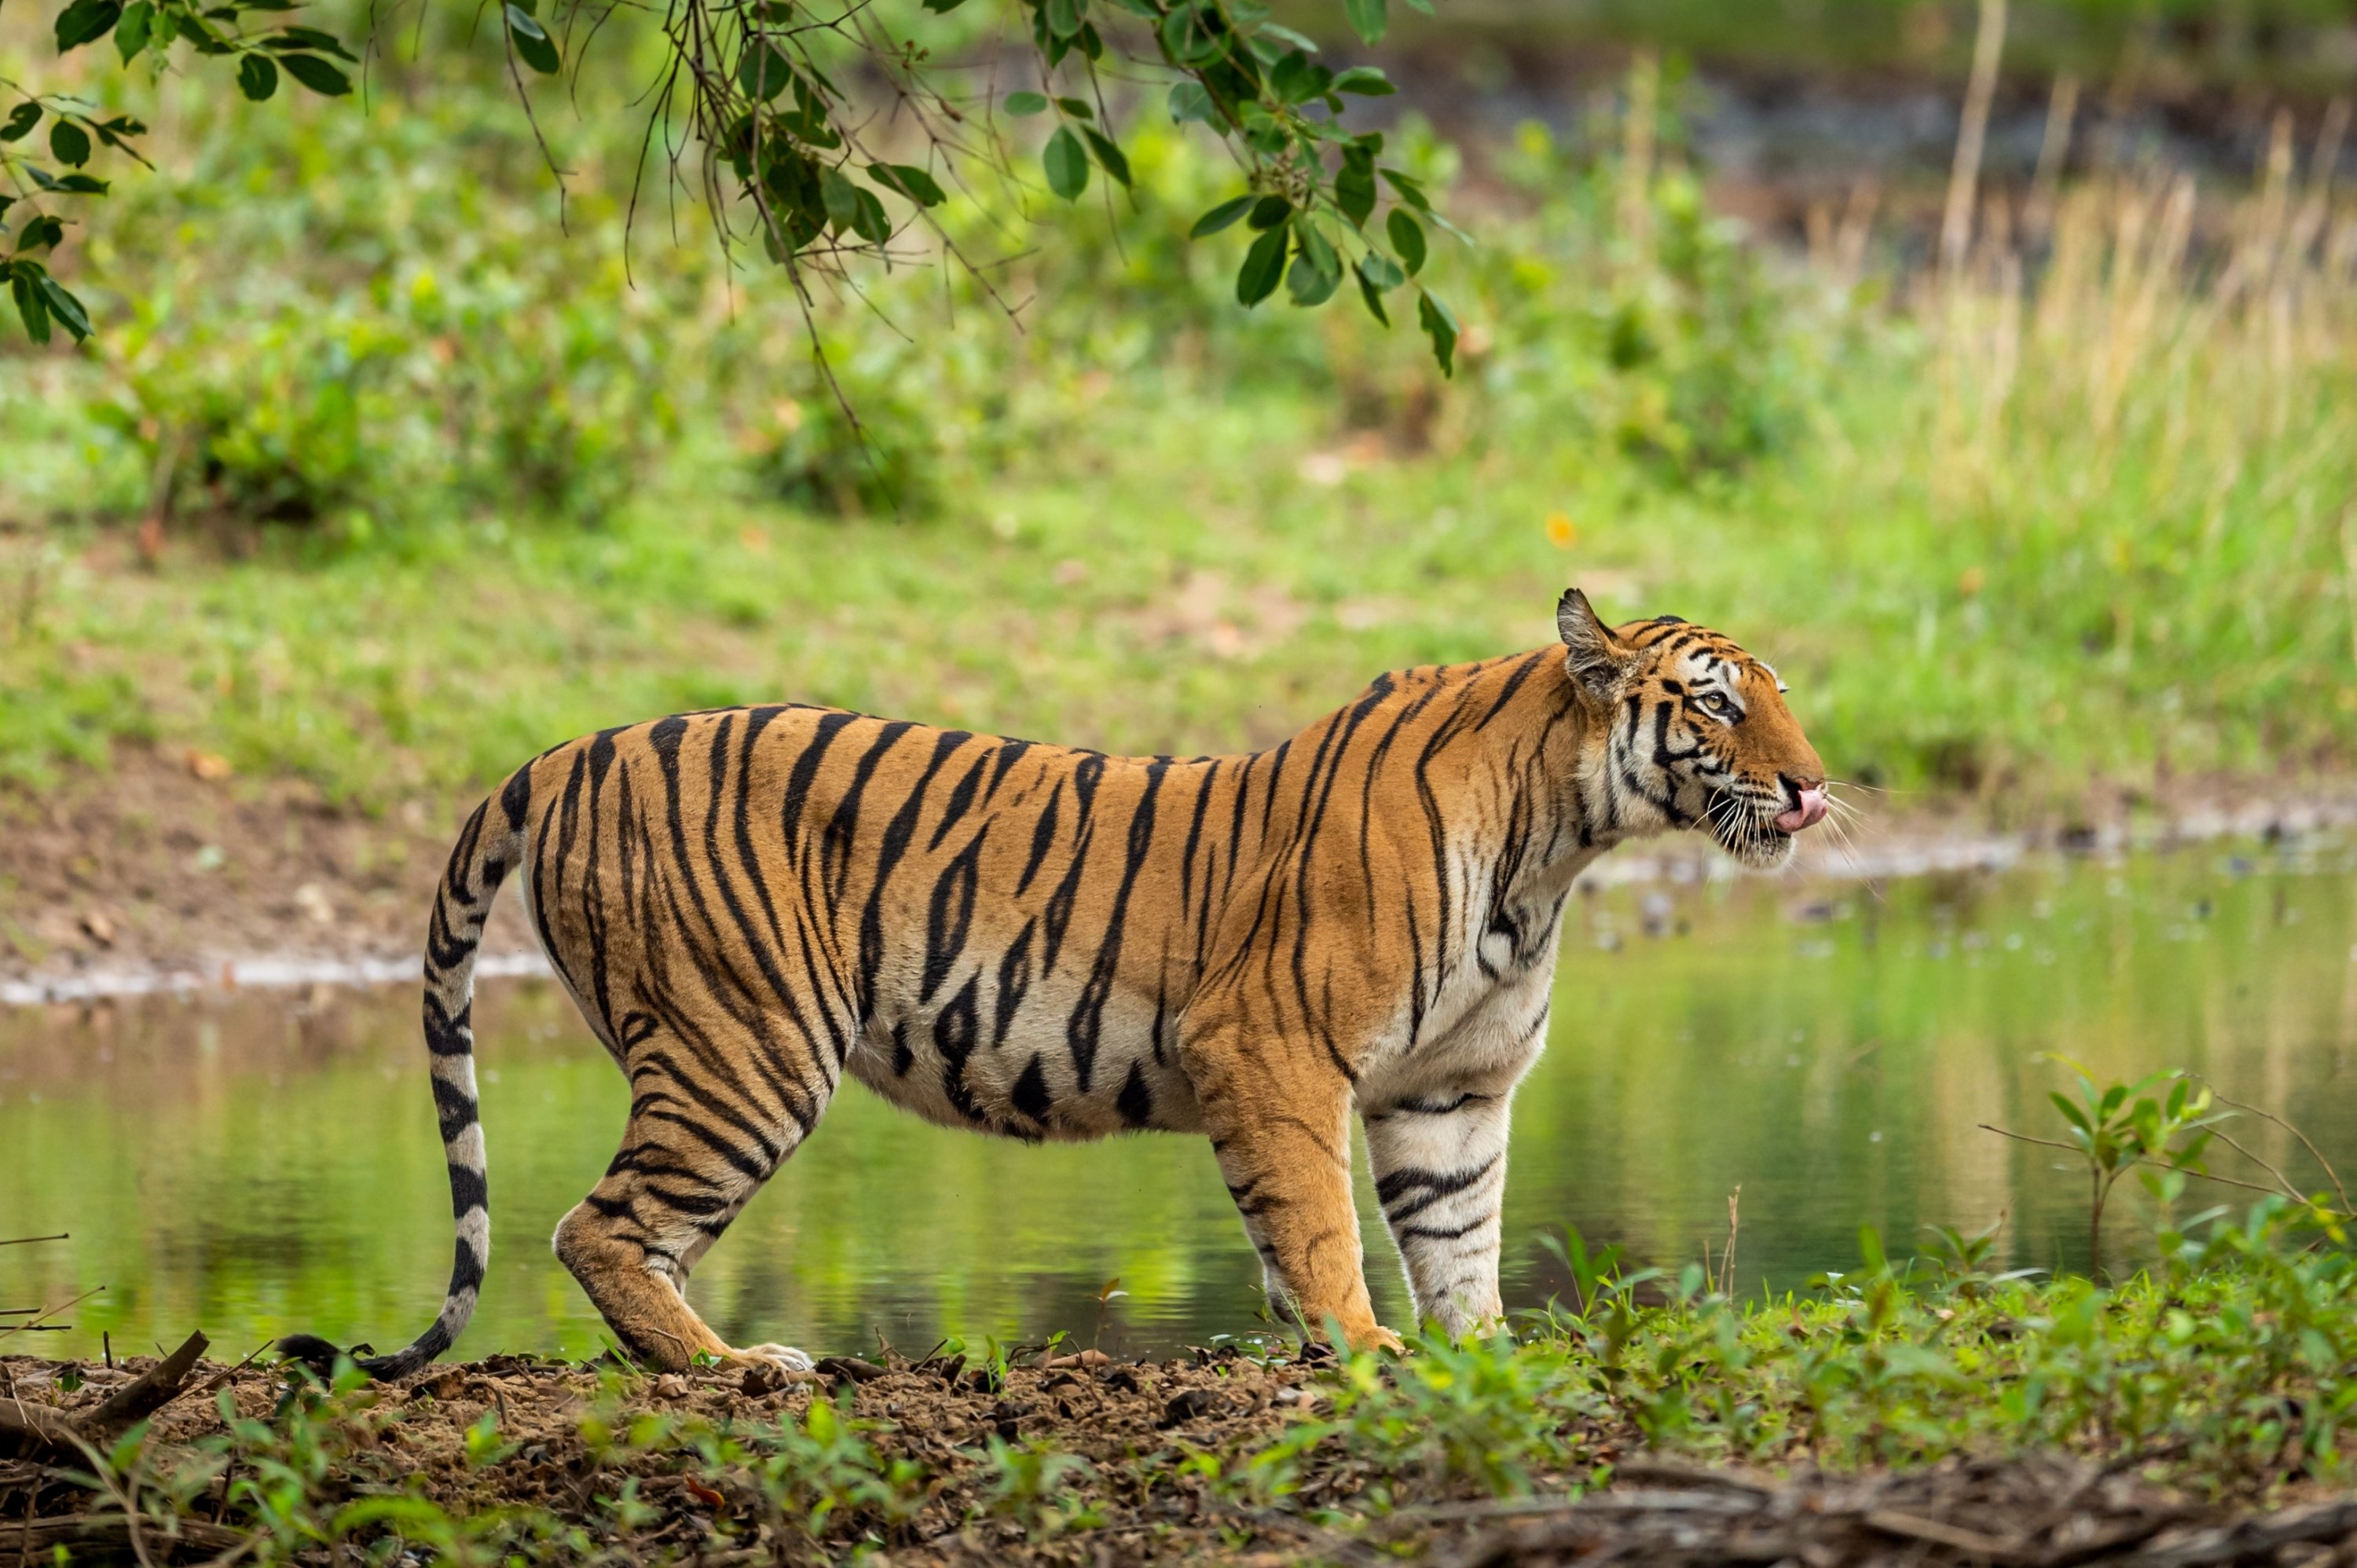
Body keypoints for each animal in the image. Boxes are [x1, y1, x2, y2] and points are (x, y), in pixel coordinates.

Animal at [285, 594, 1829, 1376]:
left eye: (1779, 693)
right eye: (1716, 701)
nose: (1816, 788)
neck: (1557, 848)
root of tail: (577, 746)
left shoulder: (1449, 1091)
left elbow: (1459, 1240)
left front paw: (1482, 1355)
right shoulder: (1272, 1047)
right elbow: (1322, 1225)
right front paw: (1358, 1344)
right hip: (749, 1048)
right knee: (596, 1228)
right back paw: (736, 1369)